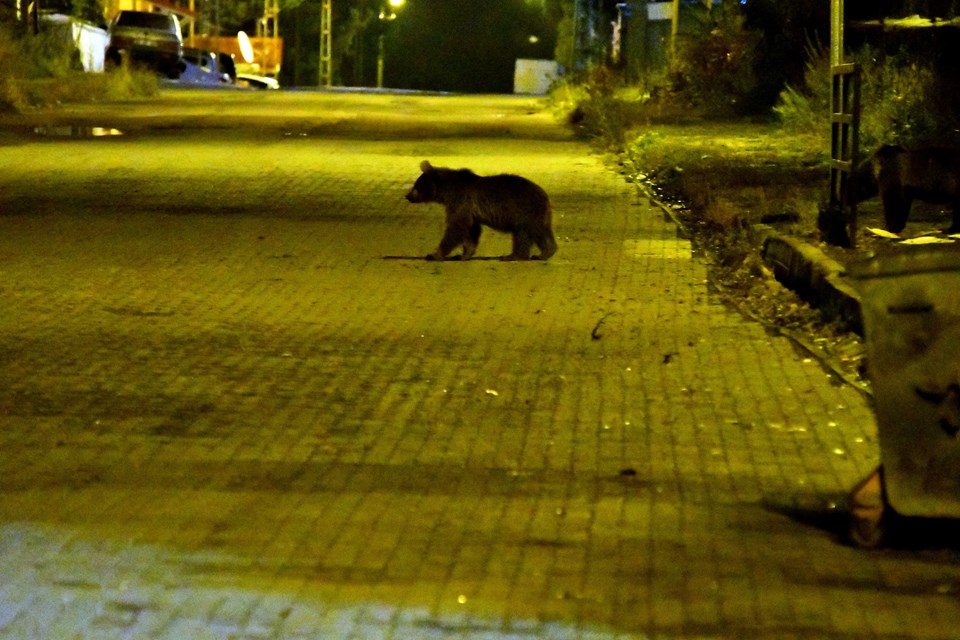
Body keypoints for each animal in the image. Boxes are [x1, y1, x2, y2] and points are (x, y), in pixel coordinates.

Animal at [404, 159, 556, 260]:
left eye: (416, 186)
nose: (407, 196)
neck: (446, 192)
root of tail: (545, 195)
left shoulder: (461, 201)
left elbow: (456, 226)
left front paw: (434, 254)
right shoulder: (469, 210)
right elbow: (471, 229)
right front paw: (464, 254)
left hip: (523, 210)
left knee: (523, 233)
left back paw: (514, 255)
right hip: (539, 215)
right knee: (542, 232)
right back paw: (545, 252)